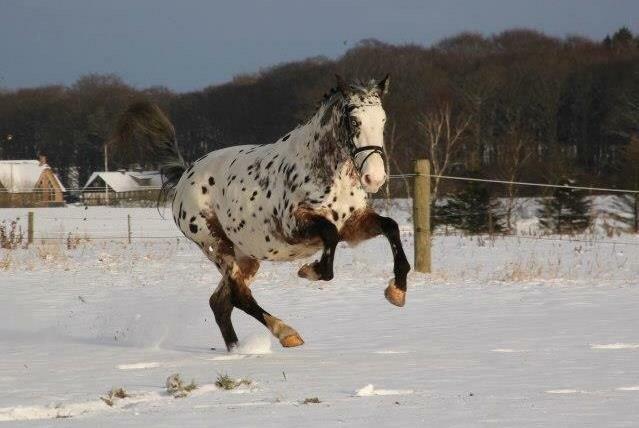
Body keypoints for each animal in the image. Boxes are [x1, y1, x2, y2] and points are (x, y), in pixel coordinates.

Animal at [110, 75, 410, 352]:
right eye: (354, 121)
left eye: (383, 120)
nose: (375, 178)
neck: (326, 171)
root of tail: (186, 174)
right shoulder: (295, 227)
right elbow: (330, 239)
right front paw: (309, 271)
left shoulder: (354, 224)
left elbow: (391, 226)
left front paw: (397, 291)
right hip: (216, 246)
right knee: (240, 297)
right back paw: (286, 333)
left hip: (247, 258)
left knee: (221, 303)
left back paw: (237, 350)